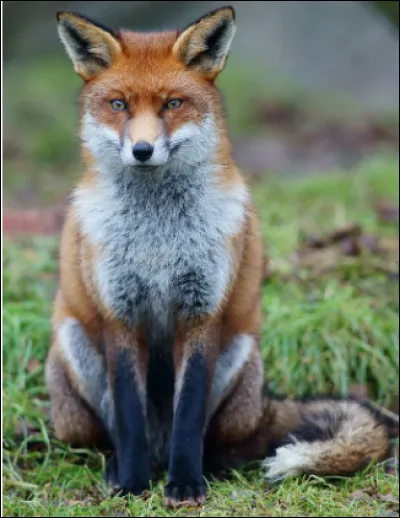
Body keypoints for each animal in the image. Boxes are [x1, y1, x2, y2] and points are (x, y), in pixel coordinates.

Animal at [47, 6, 396, 510]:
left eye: (173, 104)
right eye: (118, 105)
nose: (142, 150)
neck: (158, 235)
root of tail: (264, 402)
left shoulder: (202, 311)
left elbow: (190, 414)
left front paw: (185, 484)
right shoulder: (120, 312)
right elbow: (129, 418)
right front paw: (132, 484)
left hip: (240, 357)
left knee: (222, 444)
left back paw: (203, 468)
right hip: (74, 363)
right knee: (109, 434)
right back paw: (121, 466)